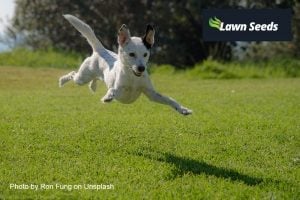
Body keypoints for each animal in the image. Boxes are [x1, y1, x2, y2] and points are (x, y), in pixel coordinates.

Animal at [59, 14, 192, 115]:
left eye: (145, 54)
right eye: (132, 54)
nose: (141, 68)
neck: (133, 78)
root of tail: (100, 50)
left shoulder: (152, 94)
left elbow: (170, 100)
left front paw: (183, 109)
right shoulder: (119, 90)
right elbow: (112, 90)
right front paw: (108, 97)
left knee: (95, 78)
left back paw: (93, 86)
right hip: (82, 78)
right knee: (73, 74)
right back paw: (62, 80)